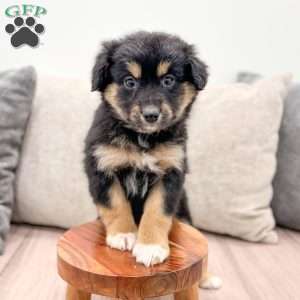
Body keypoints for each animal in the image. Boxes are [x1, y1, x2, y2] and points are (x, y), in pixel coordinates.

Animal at [84, 31, 207, 268]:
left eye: (168, 80)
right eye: (129, 82)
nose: (151, 115)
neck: (141, 139)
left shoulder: (171, 171)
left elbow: (157, 212)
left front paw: (150, 247)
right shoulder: (101, 165)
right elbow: (115, 204)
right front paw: (123, 235)